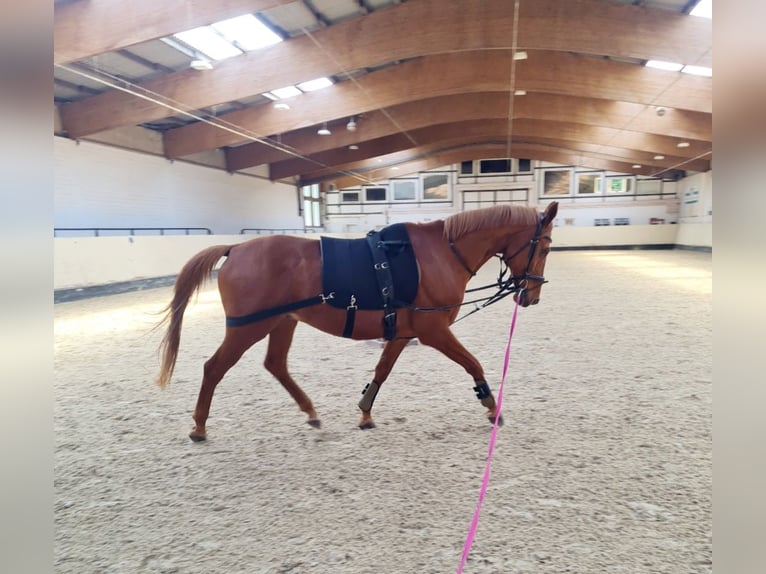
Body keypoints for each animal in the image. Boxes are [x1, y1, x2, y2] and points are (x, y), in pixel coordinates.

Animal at [156, 202, 560, 440]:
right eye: (546, 245)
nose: (532, 296)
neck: (443, 253)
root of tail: (236, 248)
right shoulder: (434, 330)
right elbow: (472, 363)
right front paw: (491, 406)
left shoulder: (404, 332)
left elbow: (382, 370)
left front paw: (365, 412)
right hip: (249, 327)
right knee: (214, 368)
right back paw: (199, 426)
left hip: (282, 322)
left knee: (276, 365)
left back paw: (311, 413)